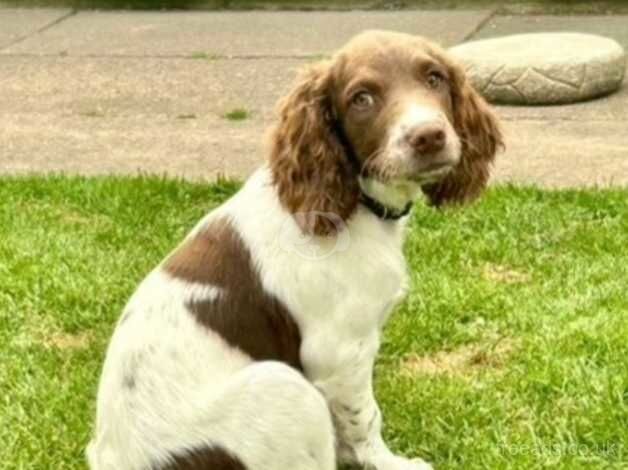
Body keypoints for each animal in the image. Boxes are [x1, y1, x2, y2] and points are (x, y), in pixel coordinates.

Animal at [86, 30, 502, 470]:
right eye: (362, 98)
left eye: (434, 78)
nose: (428, 136)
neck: (352, 203)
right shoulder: (339, 352)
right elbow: (365, 416)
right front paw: (387, 462)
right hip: (282, 384)